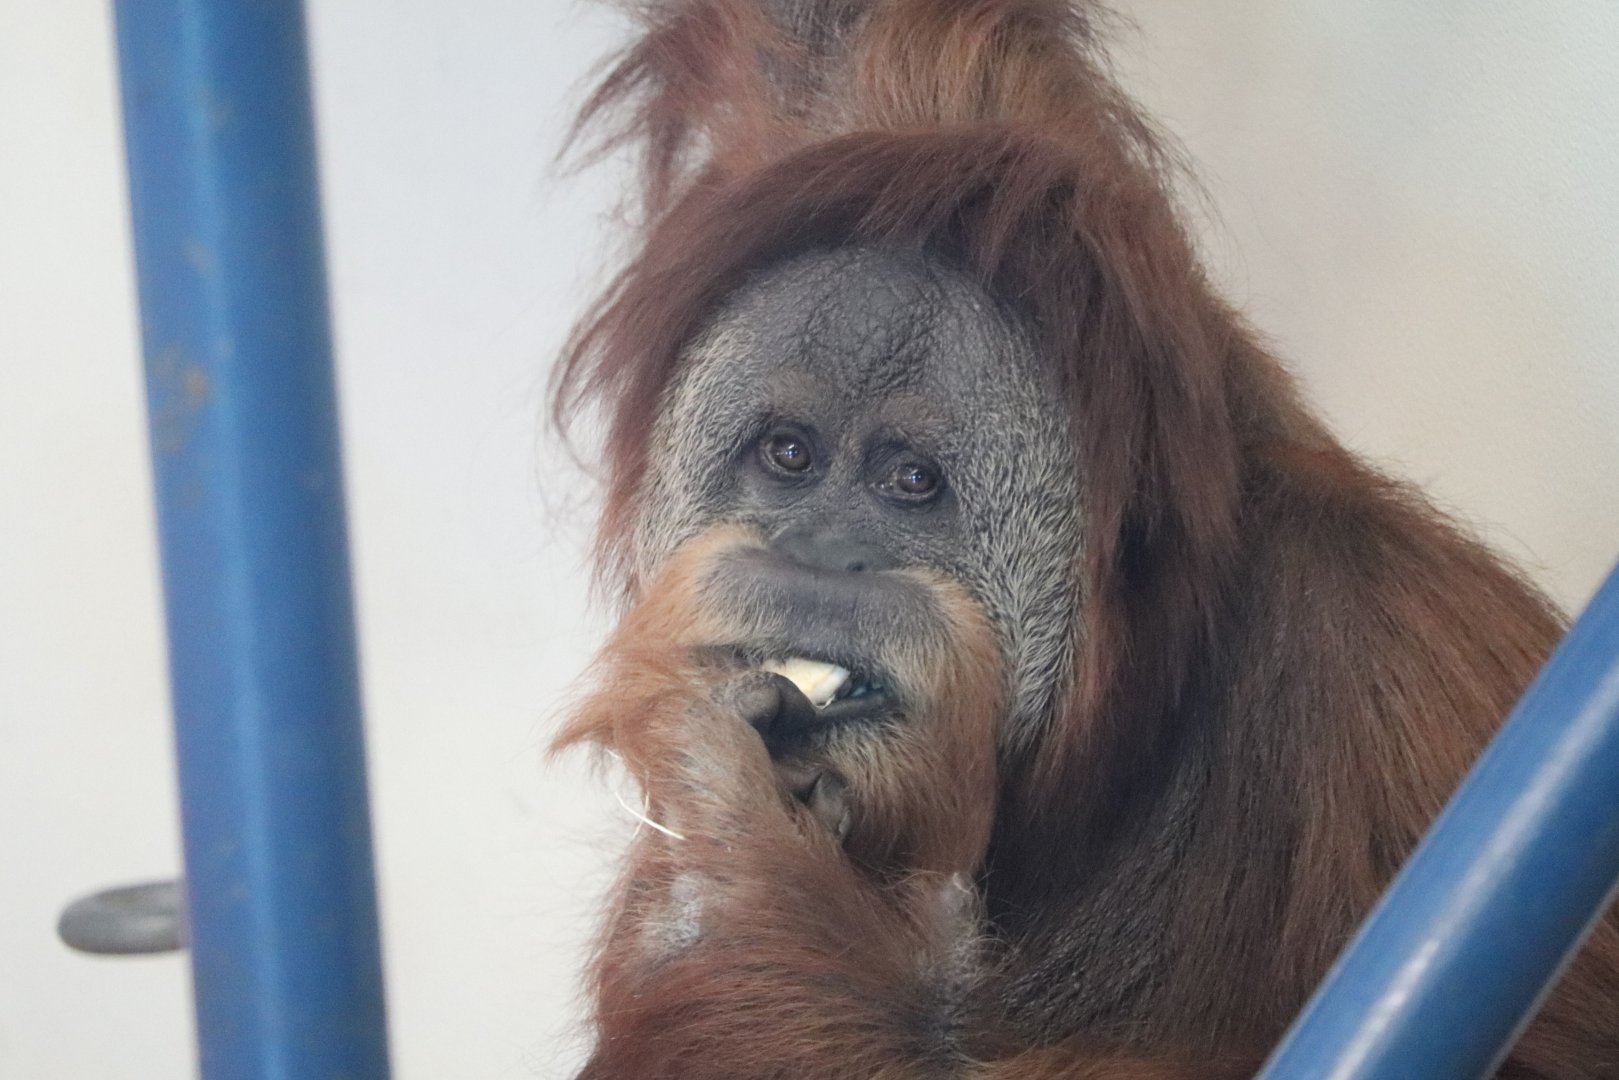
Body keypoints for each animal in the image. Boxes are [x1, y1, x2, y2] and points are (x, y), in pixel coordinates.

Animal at [549, 1, 1619, 1076]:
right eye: (789, 454)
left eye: (911, 481)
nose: (816, 557)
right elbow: (824, 41)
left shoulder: (1403, 668)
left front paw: (730, 880)